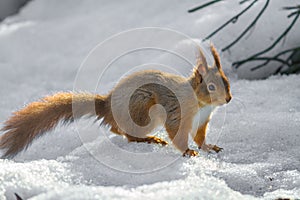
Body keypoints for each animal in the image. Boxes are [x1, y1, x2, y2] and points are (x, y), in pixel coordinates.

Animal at [0, 43, 232, 158]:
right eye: (211, 87)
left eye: (227, 81)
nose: (229, 99)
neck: (202, 105)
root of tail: (107, 106)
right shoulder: (177, 111)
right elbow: (177, 134)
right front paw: (187, 151)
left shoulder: (202, 121)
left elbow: (200, 137)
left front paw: (209, 146)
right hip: (143, 111)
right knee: (124, 133)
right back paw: (149, 139)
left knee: (115, 129)